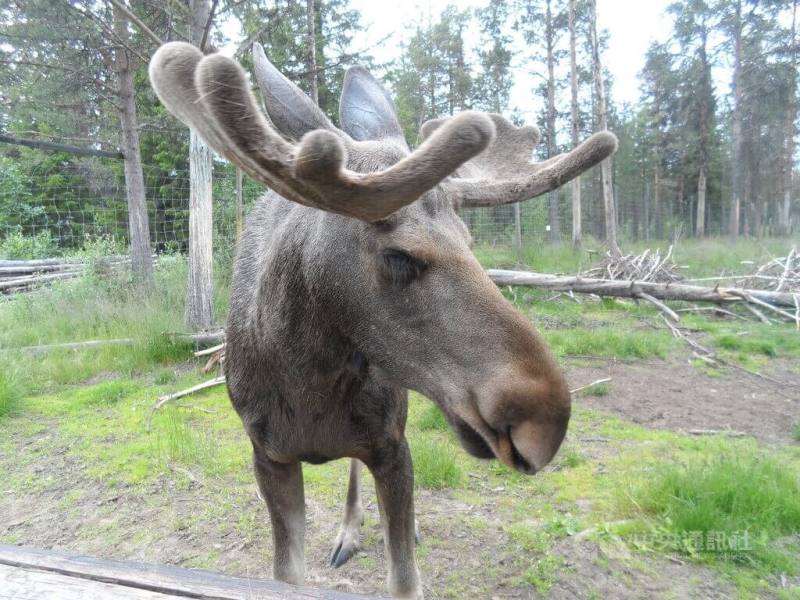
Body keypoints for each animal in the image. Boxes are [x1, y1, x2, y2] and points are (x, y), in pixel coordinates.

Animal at [149, 41, 617, 599]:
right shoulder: (268, 454)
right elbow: (286, 573)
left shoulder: (392, 446)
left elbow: (405, 578)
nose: (546, 417)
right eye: (399, 255)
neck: (310, 384)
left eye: (470, 240)